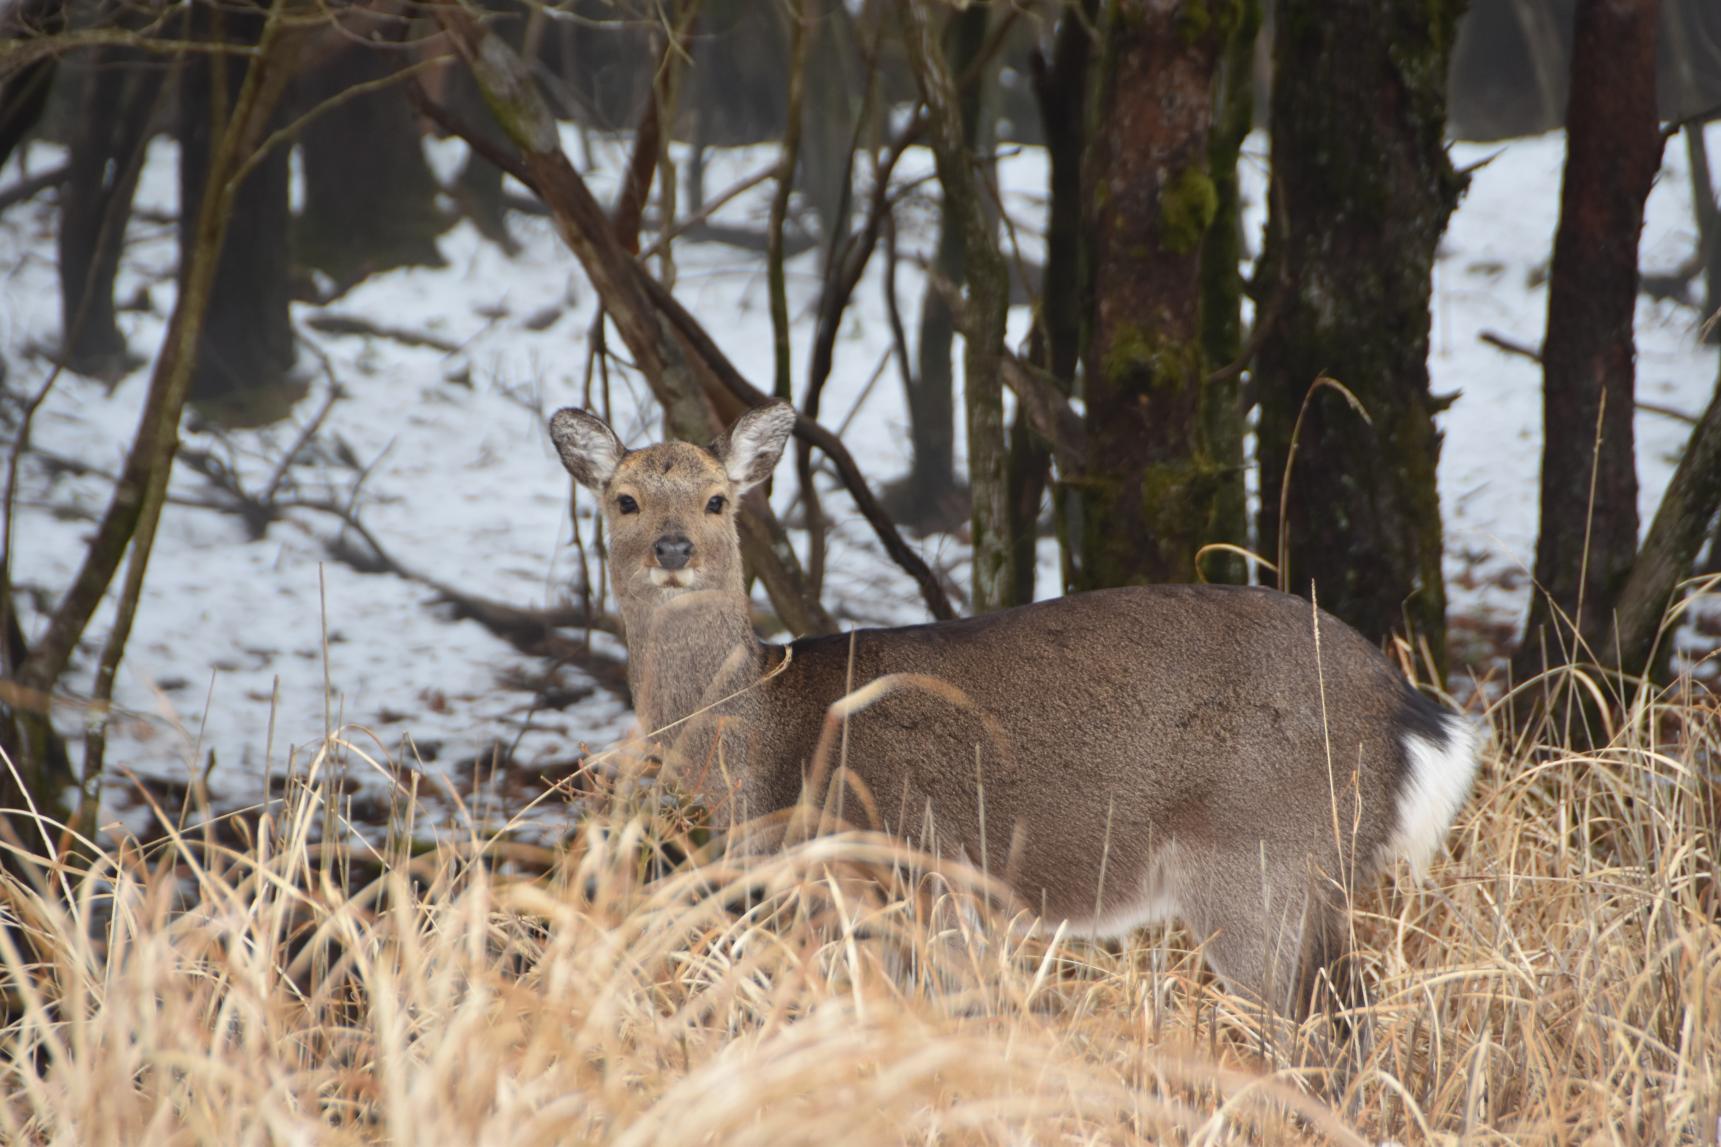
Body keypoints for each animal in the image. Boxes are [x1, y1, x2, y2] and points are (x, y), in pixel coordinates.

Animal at [547, 397, 1480, 1012]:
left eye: (716, 499)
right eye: (624, 498)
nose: (672, 548)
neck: (768, 741)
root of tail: (1412, 712)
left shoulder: (914, 868)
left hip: (1262, 860)